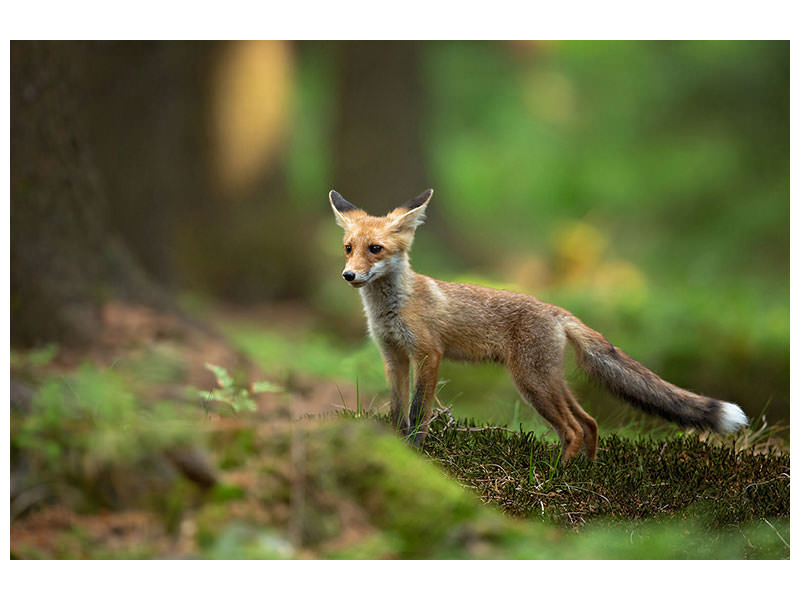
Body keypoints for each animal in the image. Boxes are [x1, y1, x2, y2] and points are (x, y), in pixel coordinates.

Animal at [326, 190, 752, 462]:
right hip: (547, 380)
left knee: (574, 428)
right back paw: (586, 473)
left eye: (375, 250)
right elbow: (397, 411)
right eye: (348, 248)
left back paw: (556, 478)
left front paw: (416, 452)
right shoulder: (393, 357)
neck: (391, 308)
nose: (348, 276)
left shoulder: (429, 355)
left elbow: (417, 413)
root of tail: (556, 309)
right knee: (590, 422)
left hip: (531, 382)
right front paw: (395, 447)